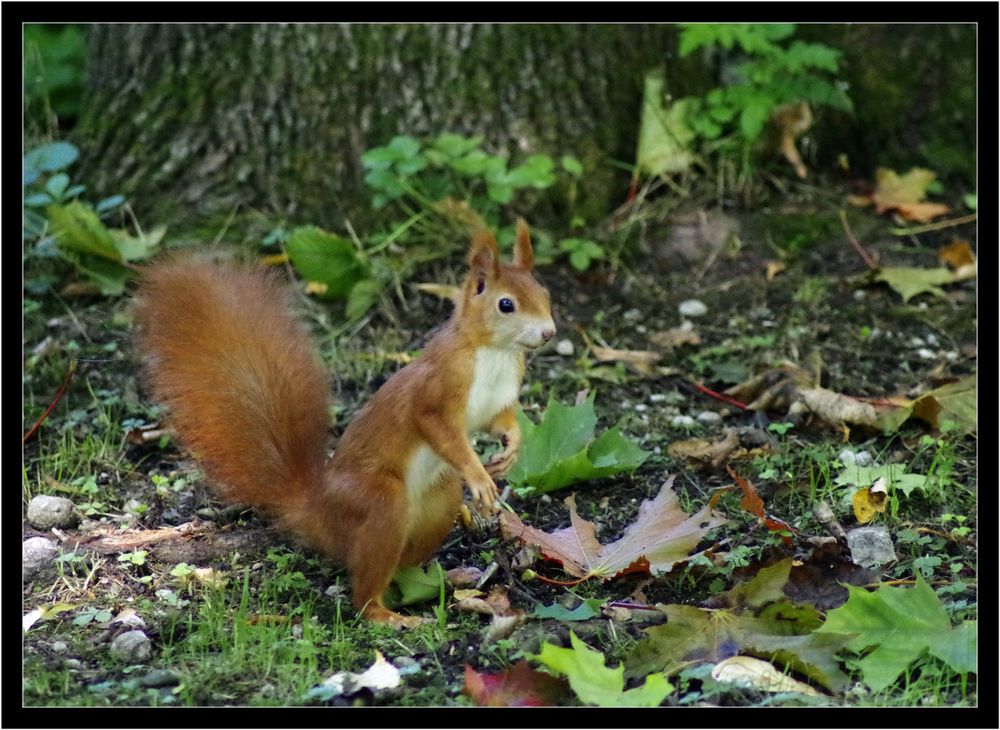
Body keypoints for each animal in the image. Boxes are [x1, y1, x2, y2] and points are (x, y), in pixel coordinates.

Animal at [133, 219, 556, 624]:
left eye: (546, 294)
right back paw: (386, 615)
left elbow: (501, 423)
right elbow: (439, 429)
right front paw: (480, 477)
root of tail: (320, 514)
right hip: (379, 502)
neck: (495, 353)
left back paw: (447, 576)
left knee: (399, 561)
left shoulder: (498, 401)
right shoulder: (436, 392)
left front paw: (510, 450)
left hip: (439, 502)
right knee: (365, 584)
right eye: (506, 304)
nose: (549, 333)